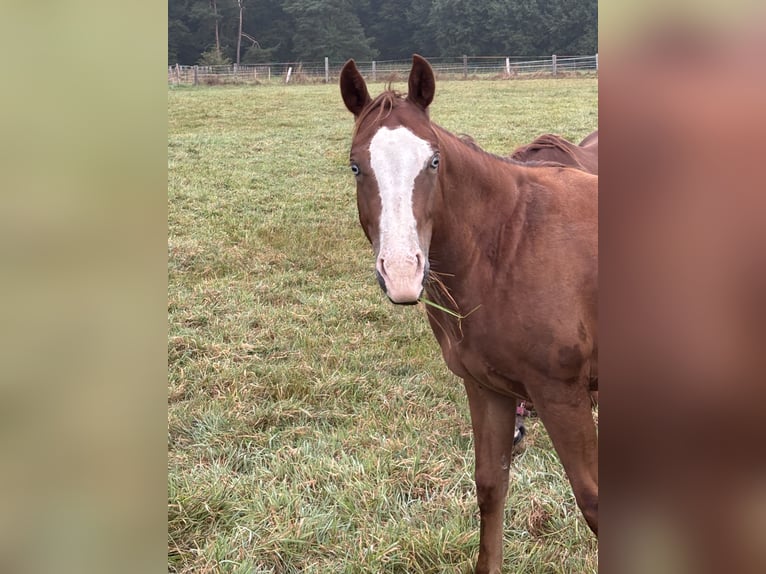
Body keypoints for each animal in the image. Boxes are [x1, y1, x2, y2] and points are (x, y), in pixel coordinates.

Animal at [340, 55, 598, 573]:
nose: (403, 271)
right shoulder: (487, 387)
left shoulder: (563, 394)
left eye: (434, 161)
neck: (510, 243)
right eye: (357, 166)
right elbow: (491, 486)